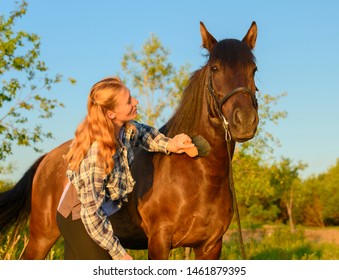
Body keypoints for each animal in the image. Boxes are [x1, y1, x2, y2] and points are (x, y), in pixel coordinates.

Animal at [0, 20, 260, 260]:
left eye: (254, 69)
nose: (245, 120)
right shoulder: (159, 242)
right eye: (215, 68)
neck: (197, 175)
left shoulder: (210, 246)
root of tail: (47, 159)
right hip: (42, 237)